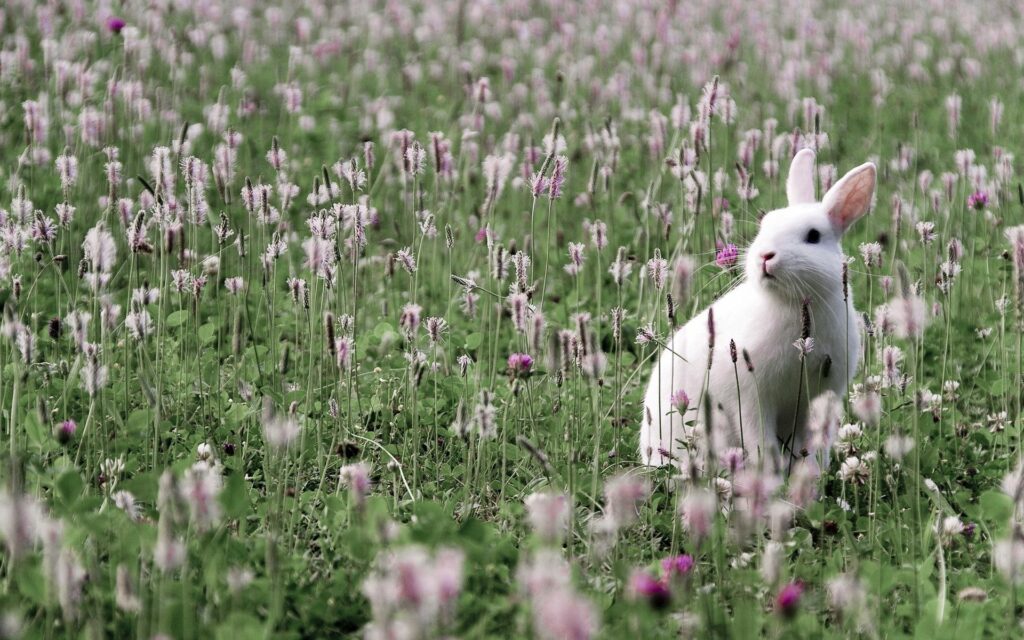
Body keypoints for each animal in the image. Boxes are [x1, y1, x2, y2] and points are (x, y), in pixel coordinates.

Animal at [639, 148, 876, 474]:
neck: (790, 304)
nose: (765, 256)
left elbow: (813, 445)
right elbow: (760, 441)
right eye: (765, 225)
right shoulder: (751, 399)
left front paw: (810, 476)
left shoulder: (821, 397)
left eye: (813, 236)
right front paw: (771, 476)